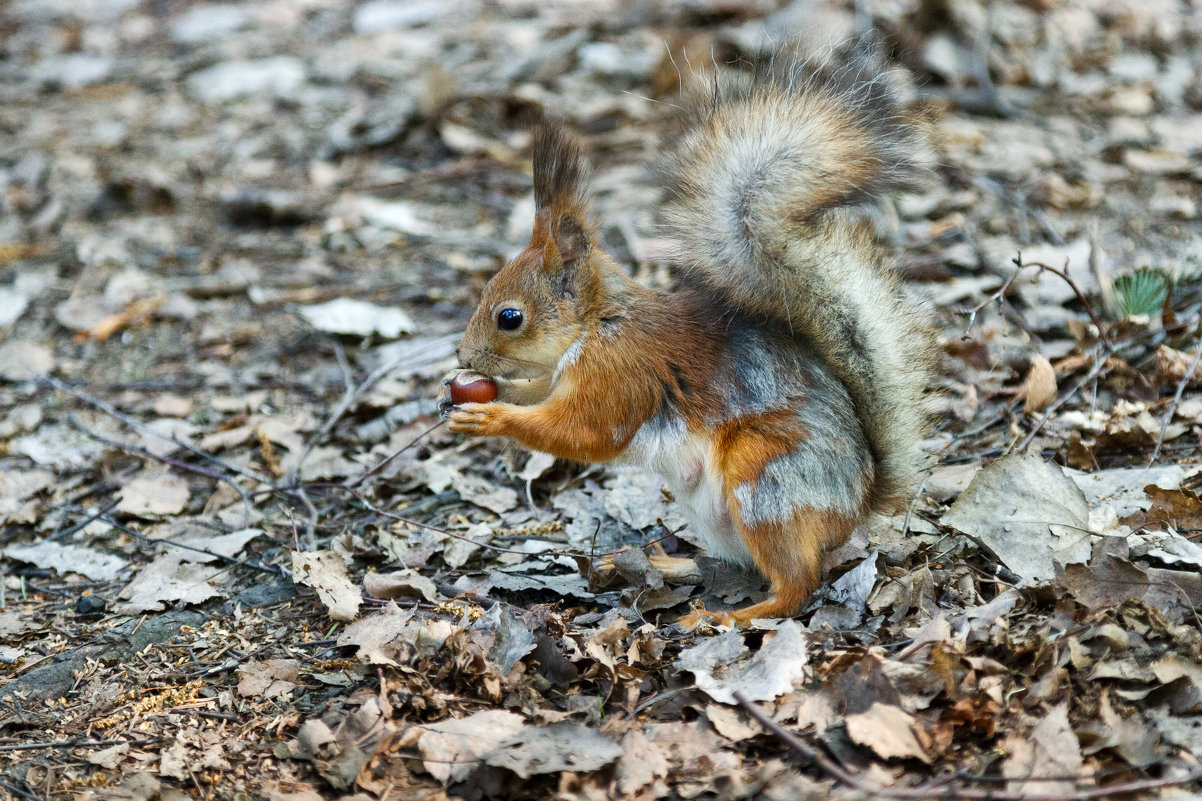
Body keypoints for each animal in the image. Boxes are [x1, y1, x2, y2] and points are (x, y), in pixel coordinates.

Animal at [442, 45, 937, 630]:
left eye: (510, 317)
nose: (463, 355)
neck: (597, 325)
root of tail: (856, 506)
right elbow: (540, 394)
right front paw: (480, 393)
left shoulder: (620, 373)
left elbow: (583, 433)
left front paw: (490, 417)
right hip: (715, 512)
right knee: (735, 565)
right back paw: (658, 563)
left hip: (766, 482)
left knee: (796, 585)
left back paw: (726, 617)